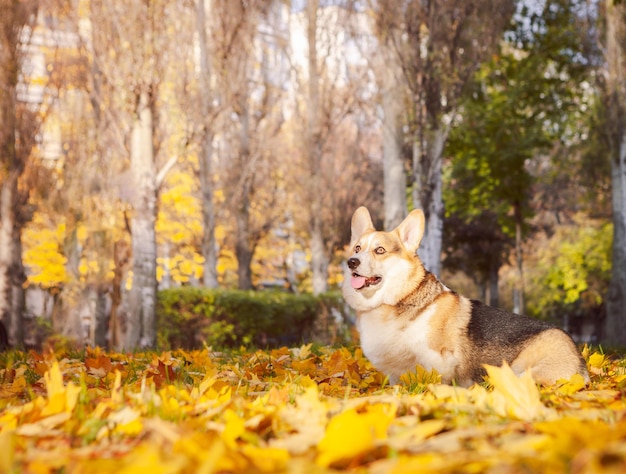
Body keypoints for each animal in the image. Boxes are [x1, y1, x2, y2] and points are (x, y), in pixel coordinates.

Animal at [338, 207, 588, 388]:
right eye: (357, 248)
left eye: (380, 250)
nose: (352, 262)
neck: (391, 302)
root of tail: (580, 363)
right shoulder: (394, 375)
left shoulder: (438, 362)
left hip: (521, 371)